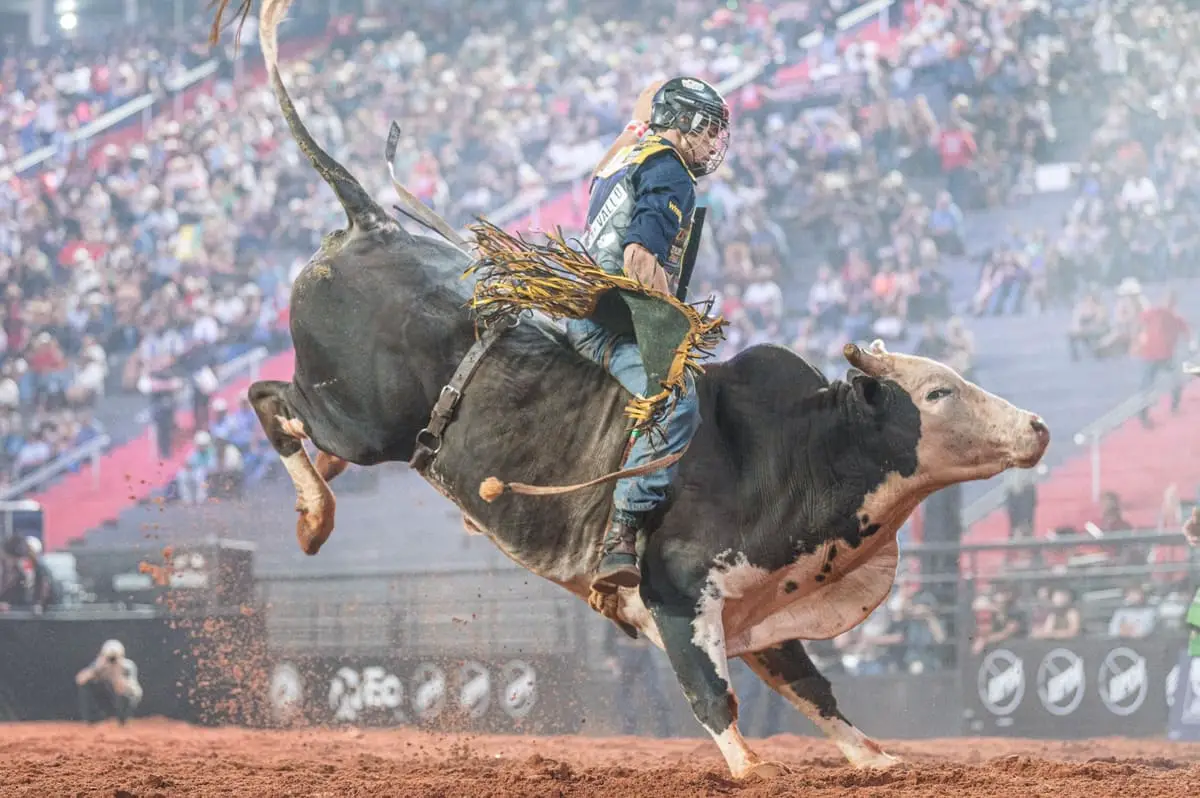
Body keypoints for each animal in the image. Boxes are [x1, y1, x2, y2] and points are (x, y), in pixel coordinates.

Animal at [220, 1, 1046, 777]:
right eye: (937, 394)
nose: (1036, 427)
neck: (788, 453)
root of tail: (373, 223)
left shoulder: (759, 608)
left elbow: (813, 689)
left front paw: (875, 758)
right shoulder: (678, 594)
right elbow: (712, 696)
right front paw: (751, 768)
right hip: (354, 414)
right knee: (270, 400)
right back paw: (314, 516)